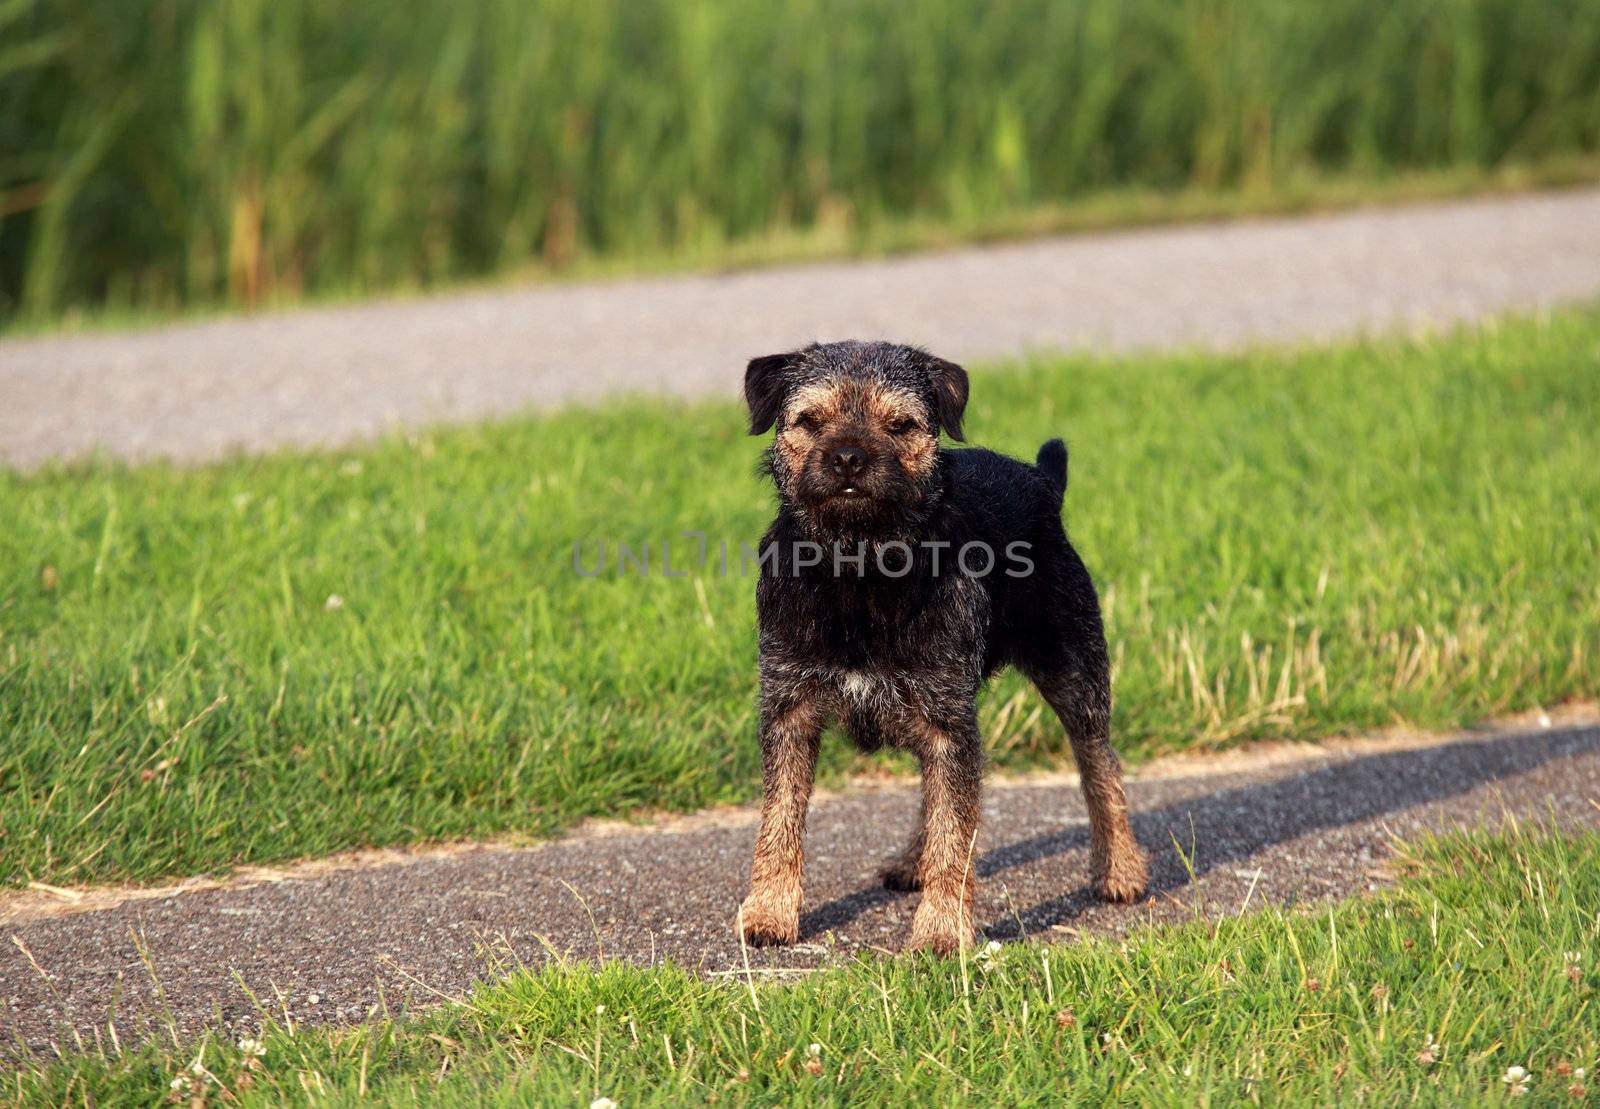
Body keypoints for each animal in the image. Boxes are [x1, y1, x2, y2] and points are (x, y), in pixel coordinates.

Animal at [736, 337, 1152, 953]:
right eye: (809, 420)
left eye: (901, 425)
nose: (849, 458)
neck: (861, 570)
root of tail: (1042, 481)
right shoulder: (789, 707)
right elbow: (780, 816)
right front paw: (768, 911)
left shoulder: (948, 719)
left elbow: (956, 827)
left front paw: (940, 929)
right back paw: (915, 862)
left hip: (1073, 668)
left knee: (1098, 763)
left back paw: (1120, 869)